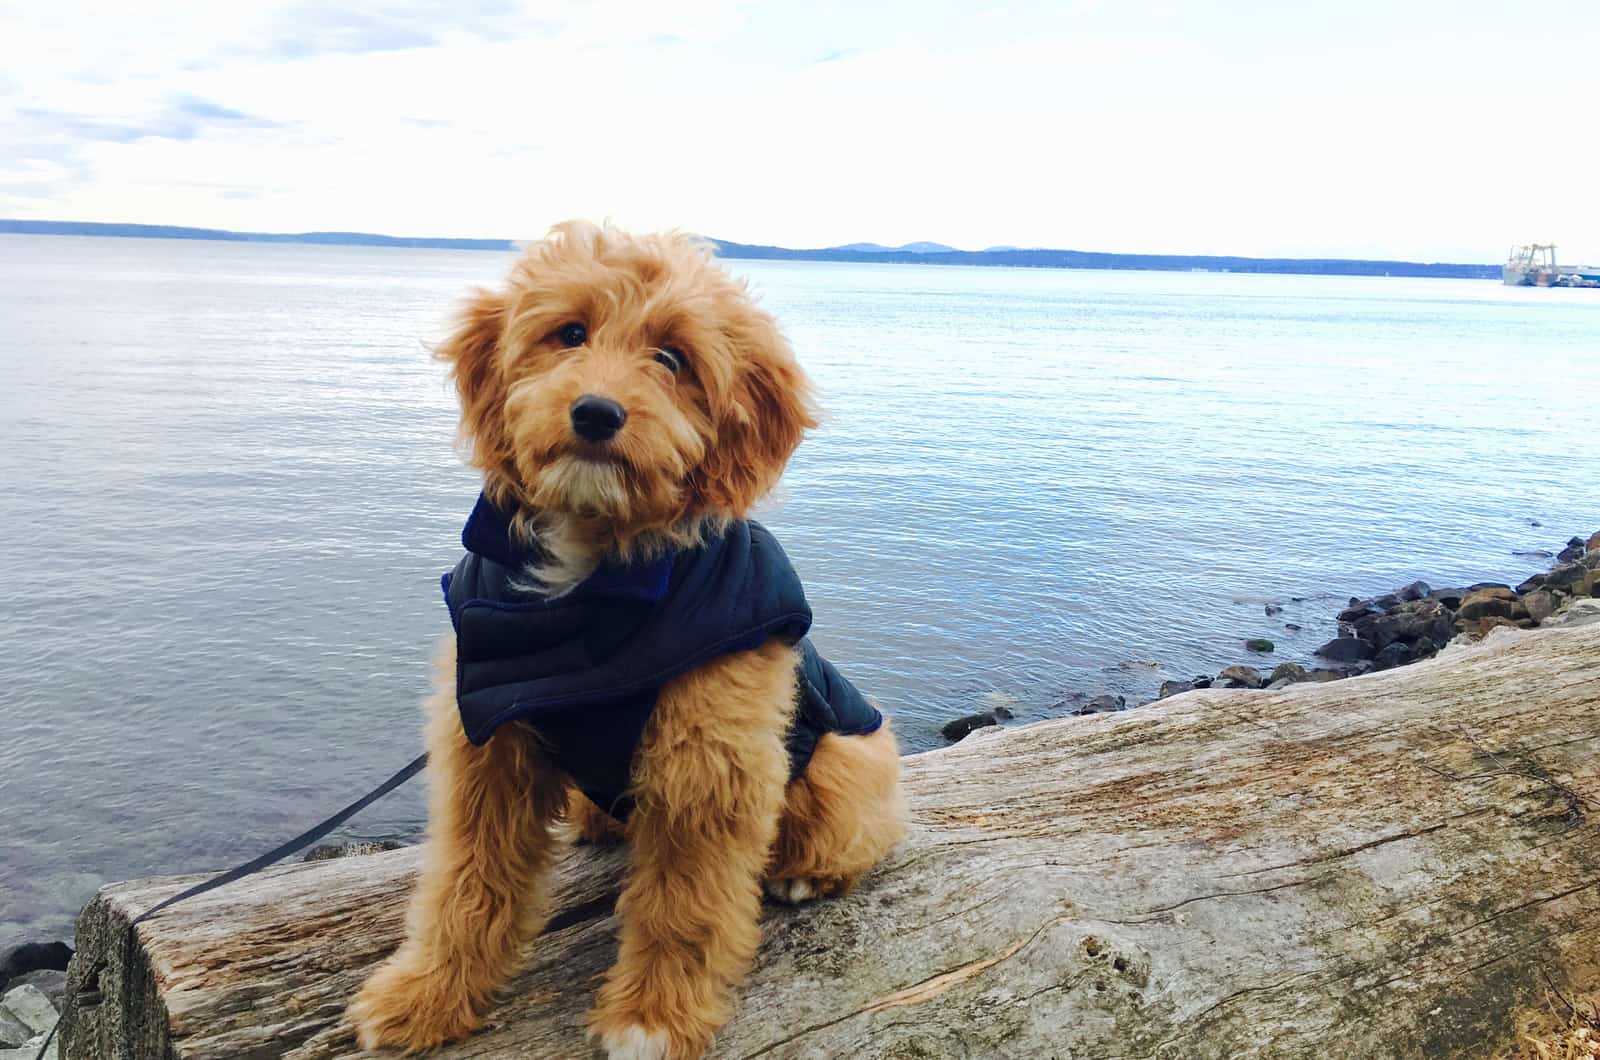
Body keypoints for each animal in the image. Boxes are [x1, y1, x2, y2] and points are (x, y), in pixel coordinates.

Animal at [347, 219, 902, 1056]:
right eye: (570, 333)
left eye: (672, 358)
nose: (597, 413)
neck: (591, 585)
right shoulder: (487, 742)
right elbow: (466, 881)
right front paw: (426, 994)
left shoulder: (711, 762)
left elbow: (685, 904)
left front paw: (653, 1017)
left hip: (844, 762)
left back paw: (804, 874)